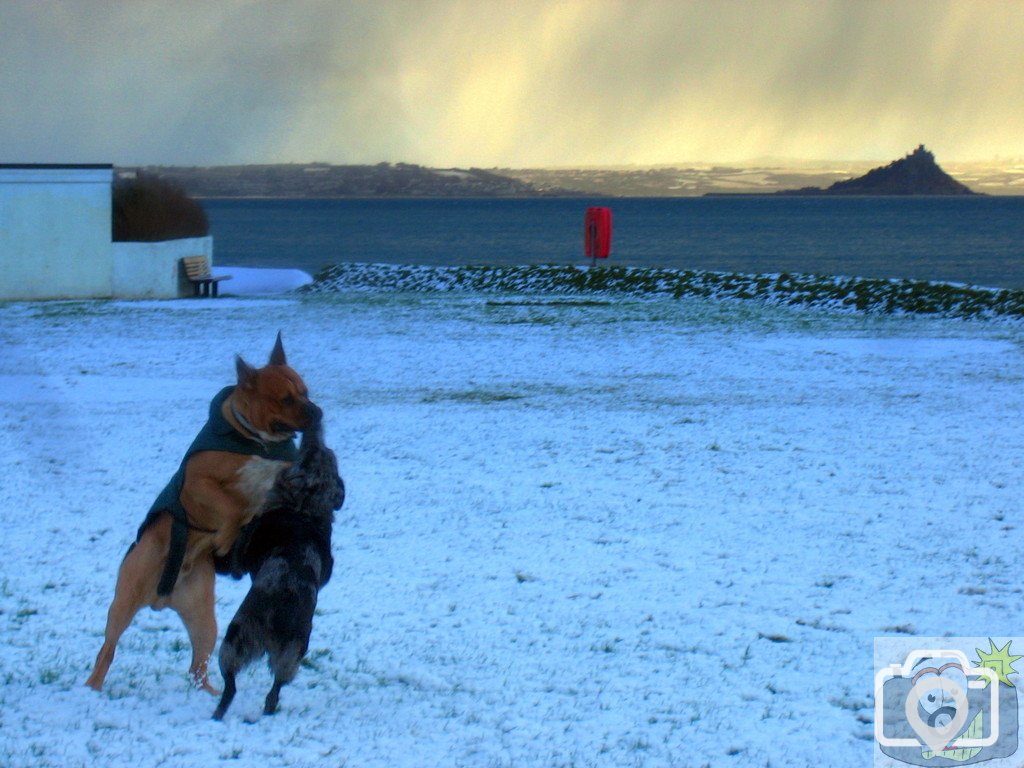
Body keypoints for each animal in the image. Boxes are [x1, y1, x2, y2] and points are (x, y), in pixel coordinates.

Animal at [84, 333, 315, 696]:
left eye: (306, 391)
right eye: (286, 399)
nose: (317, 412)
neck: (256, 441)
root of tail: (162, 597)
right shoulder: (198, 484)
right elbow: (229, 506)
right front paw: (226, 536)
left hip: (204, 619)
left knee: (196, 666)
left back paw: (210, 693)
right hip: (124, 601)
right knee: (107, 650)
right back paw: (92, 687)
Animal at [211, 409, 344, 720]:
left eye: (315, 451)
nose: (313, 425)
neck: (304, 506)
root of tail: (272, 616)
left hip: (241, 643)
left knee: (239, 686)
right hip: (278, 651)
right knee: (267, 689)